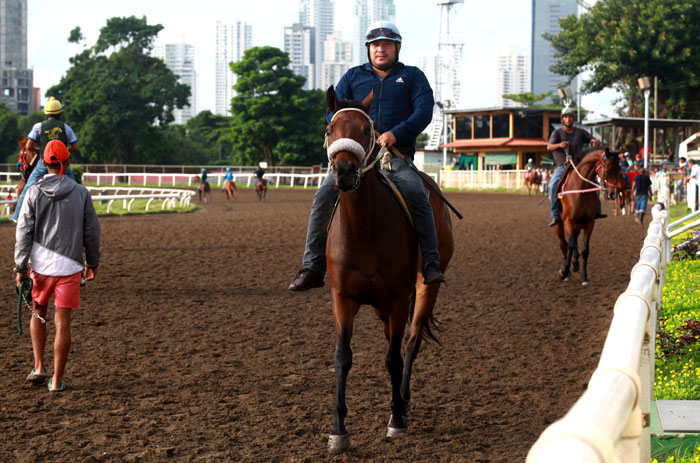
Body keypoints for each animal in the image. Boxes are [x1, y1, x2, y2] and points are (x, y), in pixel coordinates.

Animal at [322, 88, 454, 454]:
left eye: (366, 132)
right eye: (330, 129)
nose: (344, 171)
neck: (364, 230)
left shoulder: (397, 297)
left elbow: (394, 357)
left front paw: (396, 420)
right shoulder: (343, 298)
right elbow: (343, 357)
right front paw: (338, 430)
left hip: (424, 287)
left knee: (410, 342)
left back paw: (403, 402)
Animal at [556, 150, 624, 286]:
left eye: (619, 169)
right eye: (608, 169)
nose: (613, 194)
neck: (581, 189)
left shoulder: (589, 223)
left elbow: (585, 250)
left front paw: (584, 277)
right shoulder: (568, 221)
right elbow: (570, 245)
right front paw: (564, 271)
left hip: (577, 226)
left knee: (574, 242)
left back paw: (575, 264)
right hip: (560, 226)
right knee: (564, 244)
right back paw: (567, 270)